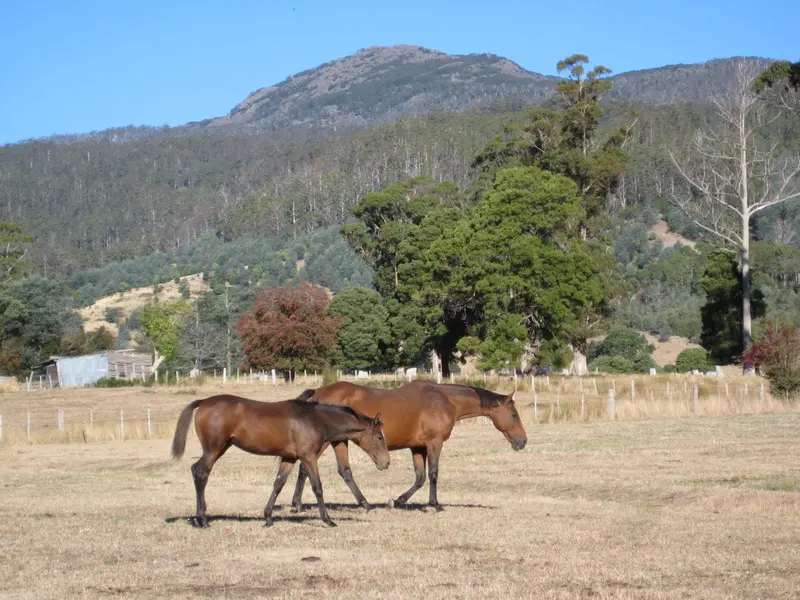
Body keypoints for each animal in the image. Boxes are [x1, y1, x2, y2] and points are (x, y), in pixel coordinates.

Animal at [171, 394, 390, 528]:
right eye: (379, 437)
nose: (386, 463)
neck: (314, 419)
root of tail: (203, 401)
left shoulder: (289, 457)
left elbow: (278, 483)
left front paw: (268, 517)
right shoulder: (308, 456)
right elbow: (317, 486)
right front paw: (328, 520)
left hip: (221, 448)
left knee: (196, 471)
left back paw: (199, 519)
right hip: (214, 449)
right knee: (201, 473)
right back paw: (203, 520)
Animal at [290, 380, 527, 512]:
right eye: (514, 415)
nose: (523, 441)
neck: (444, 400)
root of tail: (318, 392)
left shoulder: (417, 448)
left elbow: (420, 477)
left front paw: (397, 501)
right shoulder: (434, 443)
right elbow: (433, 473)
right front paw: (435, 504)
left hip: (339, 441)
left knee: (336, 470)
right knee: (309, 469)